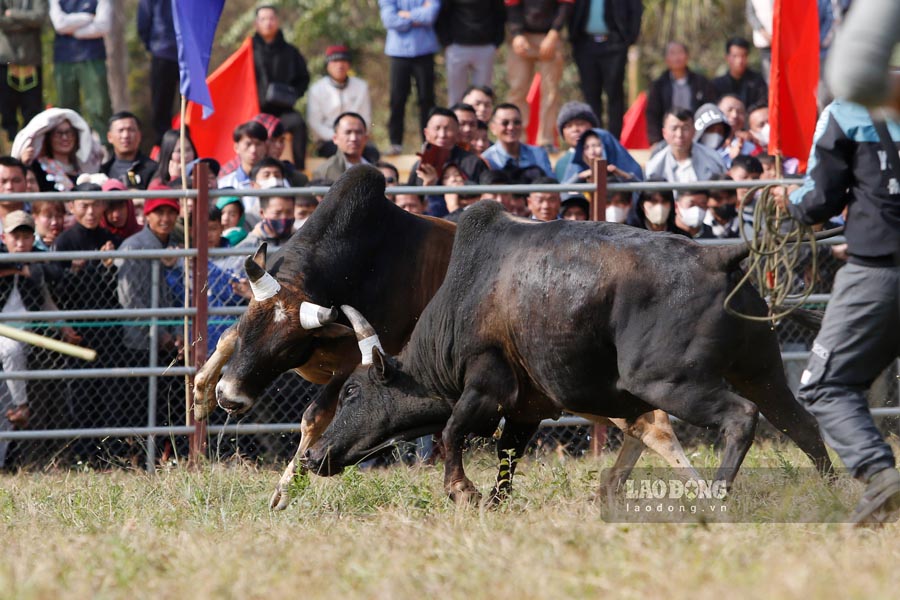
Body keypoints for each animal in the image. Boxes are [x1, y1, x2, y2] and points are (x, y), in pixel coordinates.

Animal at [306, 200, 832, 502]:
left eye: (352, 392)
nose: (313, 456)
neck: (467, 293)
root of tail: (716, 254)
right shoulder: (526, 408)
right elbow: (506, 460)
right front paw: (492, 501)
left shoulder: (488, 386)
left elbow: (453, 432)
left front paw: (461, 490)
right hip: (760, 371)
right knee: (801, 423)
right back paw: (836, 490)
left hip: (668, 382)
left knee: (741, 417)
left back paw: (716, 494)